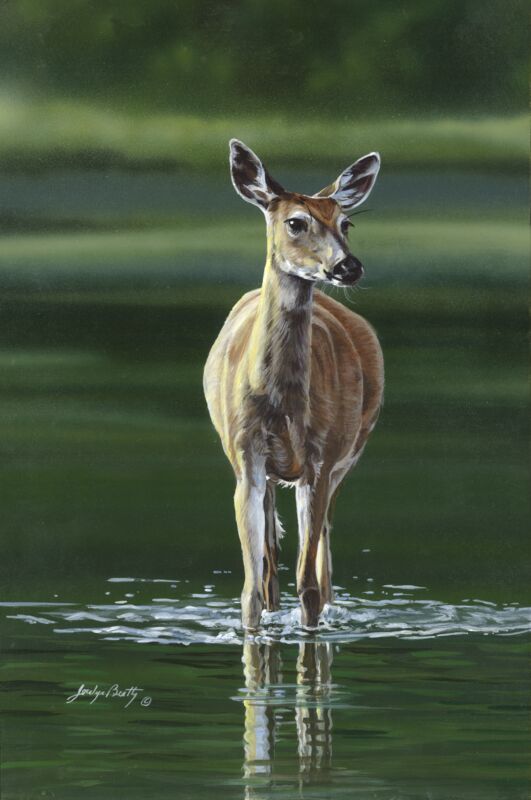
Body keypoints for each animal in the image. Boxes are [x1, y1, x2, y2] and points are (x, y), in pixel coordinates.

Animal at [203, 139, 384, 630]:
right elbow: (250, 587)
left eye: (346, 222)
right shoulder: (246, 458)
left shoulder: (322, 459)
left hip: (347, 457)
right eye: (295, 222)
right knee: (271, 565)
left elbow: (309, 585)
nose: (348, 266)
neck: (281, 405)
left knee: (322, 562)